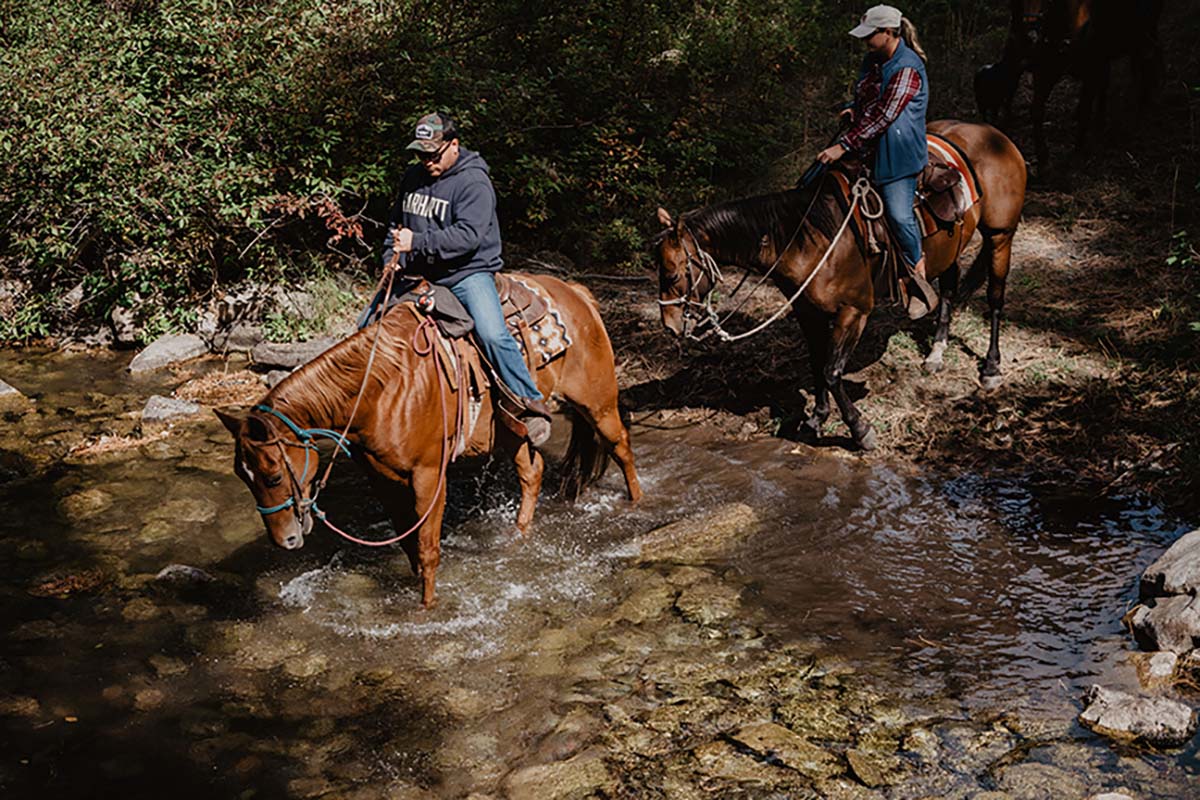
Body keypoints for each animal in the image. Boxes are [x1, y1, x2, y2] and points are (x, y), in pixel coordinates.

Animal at [219, 272, 643, 609]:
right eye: (244, 477)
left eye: (273, 476)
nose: (284, 541)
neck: (381, 390)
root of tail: (574, 291)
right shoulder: (383, 479)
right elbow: (408, 546)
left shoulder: (428, 475)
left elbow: (427, 548)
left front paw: (427, 608)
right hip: (513, 429)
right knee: (532, 472)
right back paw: (518, 535)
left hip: (597, 402)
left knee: (621, 447)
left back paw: (636, 503)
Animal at [652, 122, 1027, 453]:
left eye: (672, 274)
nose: (670, 325)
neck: (808, 238)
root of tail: (994, 134)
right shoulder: (807, 311)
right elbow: (818, 363)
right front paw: (816, 419)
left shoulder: (854, 311)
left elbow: (832, 371)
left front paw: (860, 430)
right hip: (952, 245)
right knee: (948, 289)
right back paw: (936, 351)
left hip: (1000, 235)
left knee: (995, 297)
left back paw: (991, 368)